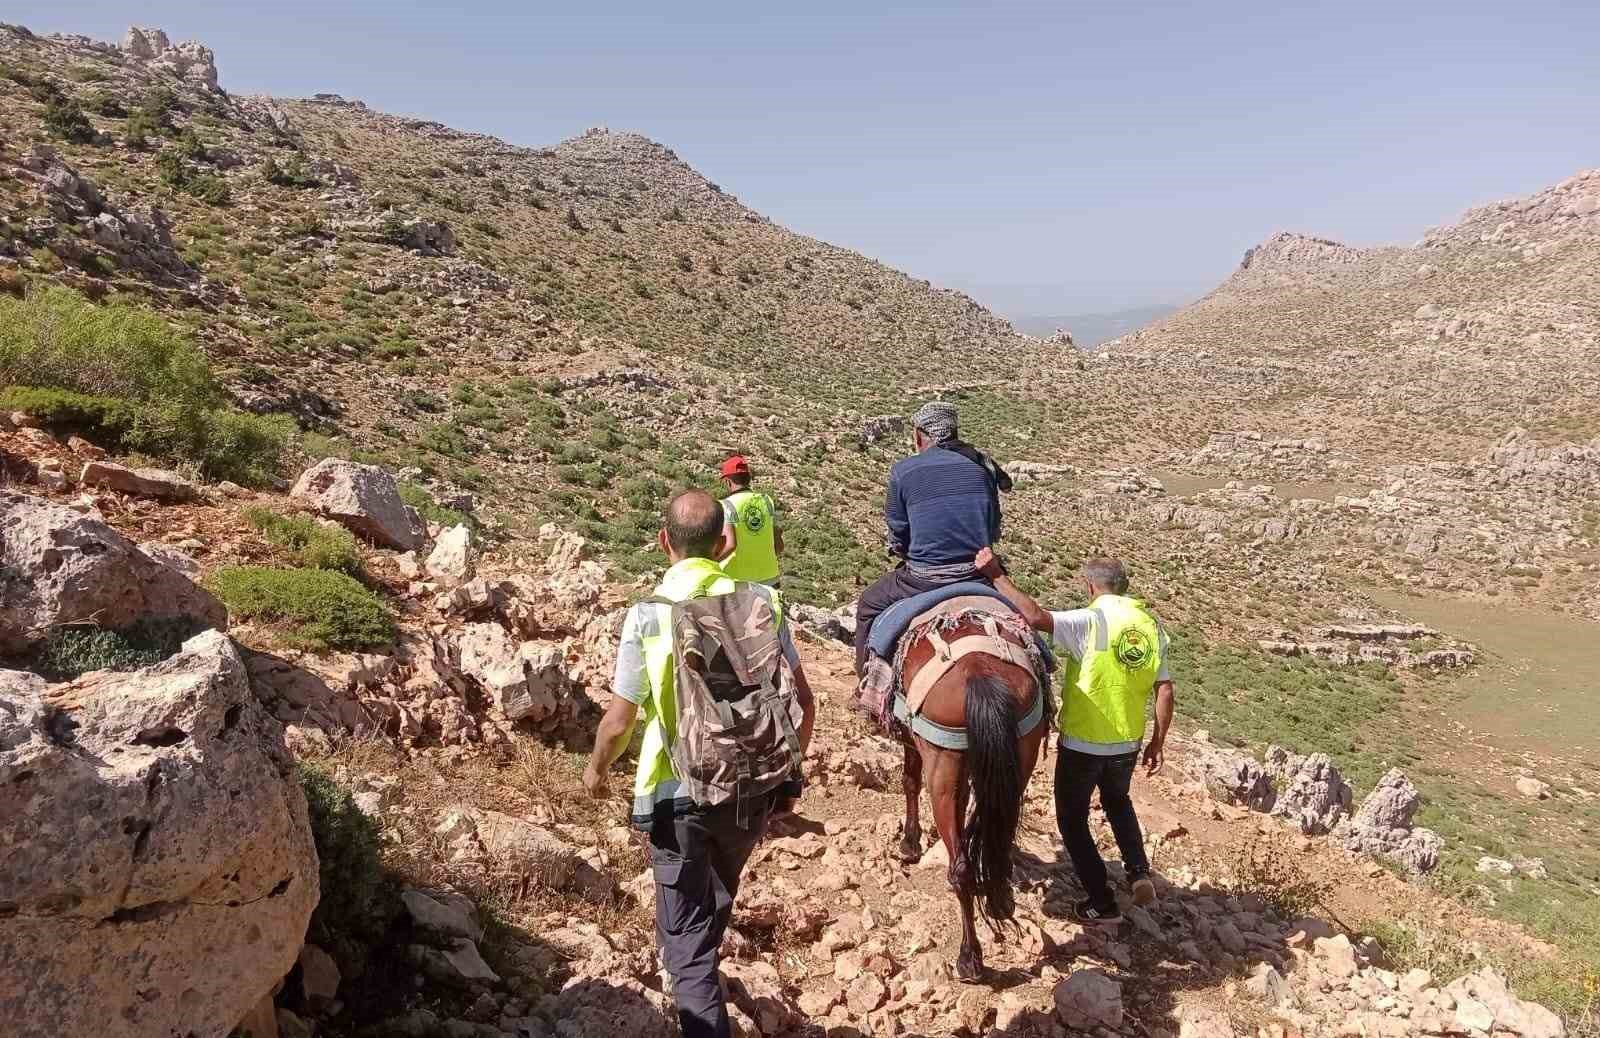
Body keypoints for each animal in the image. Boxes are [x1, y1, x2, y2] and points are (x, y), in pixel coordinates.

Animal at [902, 614, 1049, 978]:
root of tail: (978, 670)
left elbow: (909, 780)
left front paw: (909, 844)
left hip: (941, 767)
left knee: (961, 869)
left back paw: (970, 958)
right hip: (1021, 753)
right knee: (998, 838)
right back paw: (999, 896)